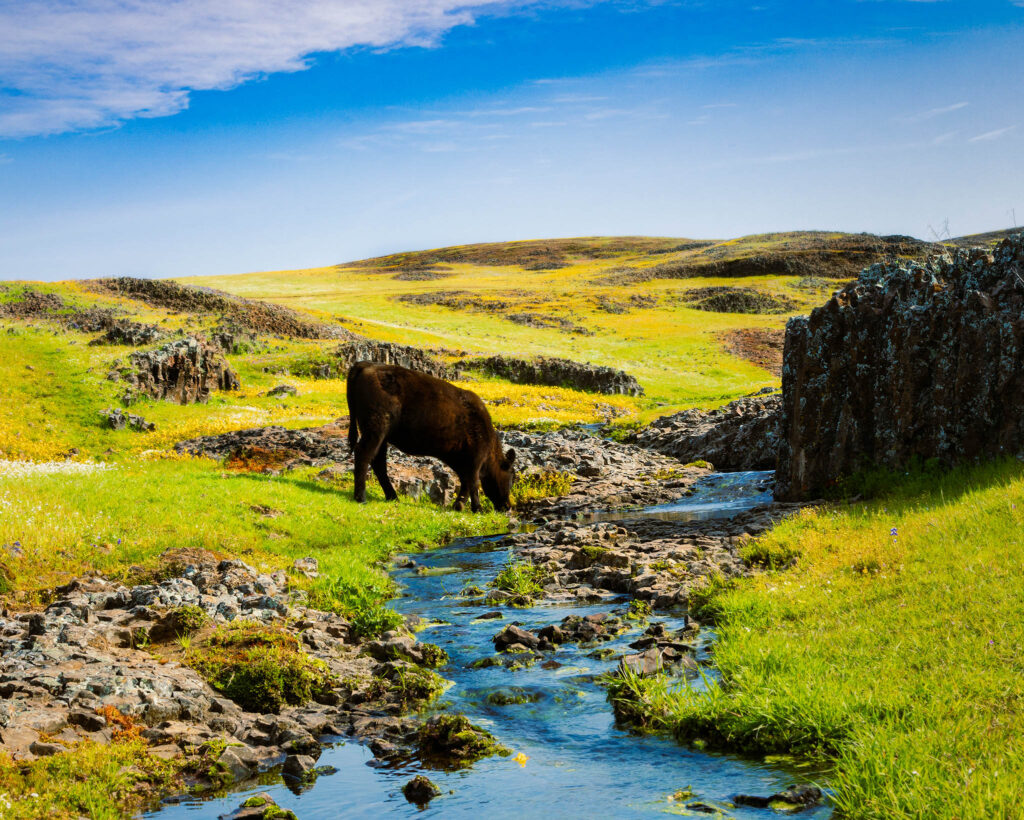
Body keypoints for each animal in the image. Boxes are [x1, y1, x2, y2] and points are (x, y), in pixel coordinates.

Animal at [346, 361, 516, 512]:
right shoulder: (476, 457)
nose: (508, 506)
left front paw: (459, 505)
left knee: (378, 462)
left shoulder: (463, 460)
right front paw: (477, 508)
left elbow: (466, 481)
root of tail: (367, 365)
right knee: (364, 454)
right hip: (376, 427)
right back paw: (361, 497)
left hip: (382, 435)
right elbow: (474, 482)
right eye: (510, 478)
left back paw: (392, 496)